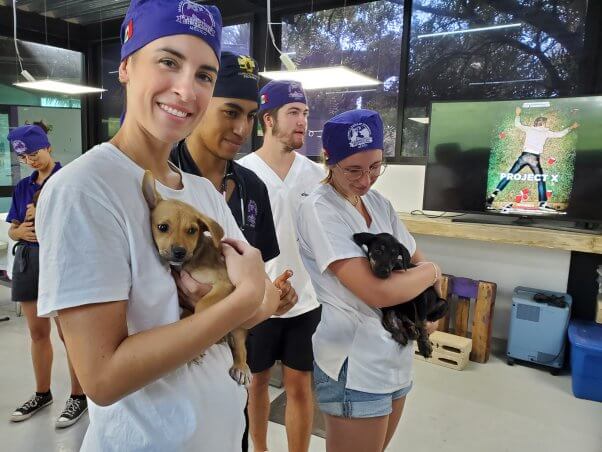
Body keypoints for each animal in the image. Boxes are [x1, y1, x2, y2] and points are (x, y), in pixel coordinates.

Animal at [142, 170, 250, 384]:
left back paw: (241, 366)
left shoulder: (223, 283)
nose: (179, 252)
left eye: (192, 230)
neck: (193, 259)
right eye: (162, 227)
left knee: (240, 345)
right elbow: (188, 317)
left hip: (239, 325)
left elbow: (202, 307)